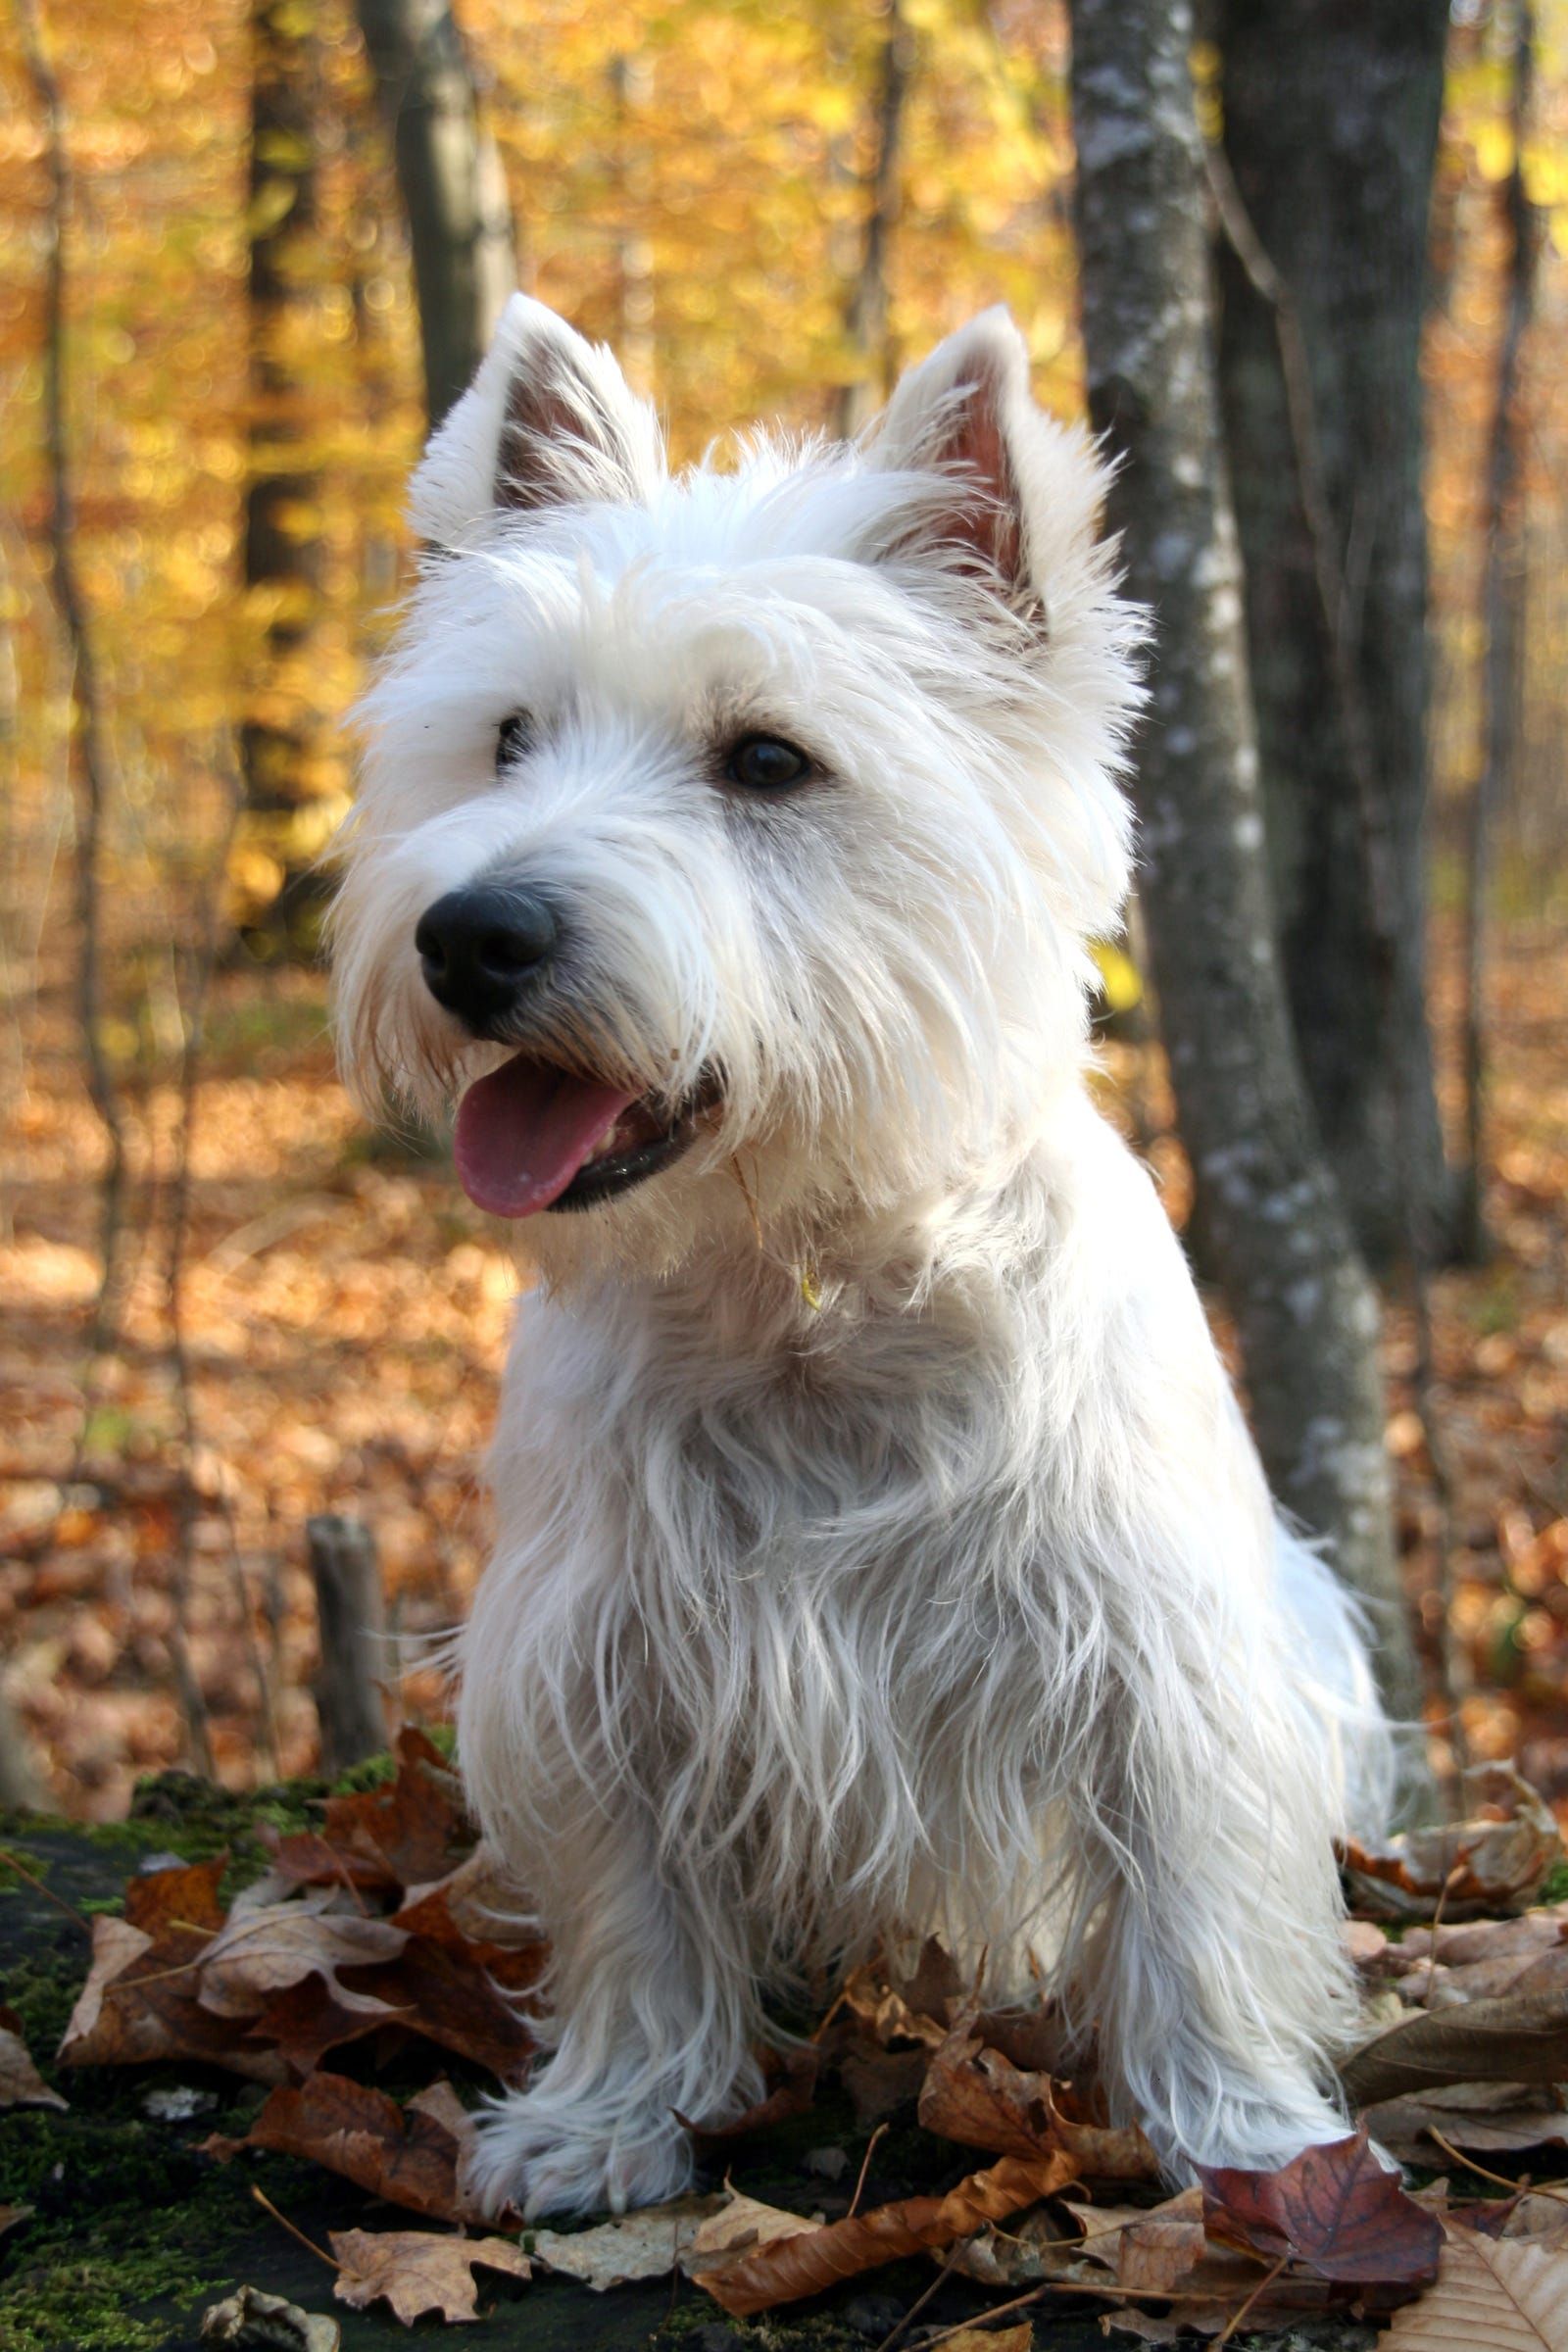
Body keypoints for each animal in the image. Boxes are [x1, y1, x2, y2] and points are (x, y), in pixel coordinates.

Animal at [333, 284, 1400, 2211]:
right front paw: (608, 2120)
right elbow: (635, 1911)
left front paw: (1254, 2144)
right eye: (508, 738)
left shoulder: (1159, 1662)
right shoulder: (596, 1656)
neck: (804, 1286)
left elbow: (1196, 1903)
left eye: (769, 760)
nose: (470, 934)